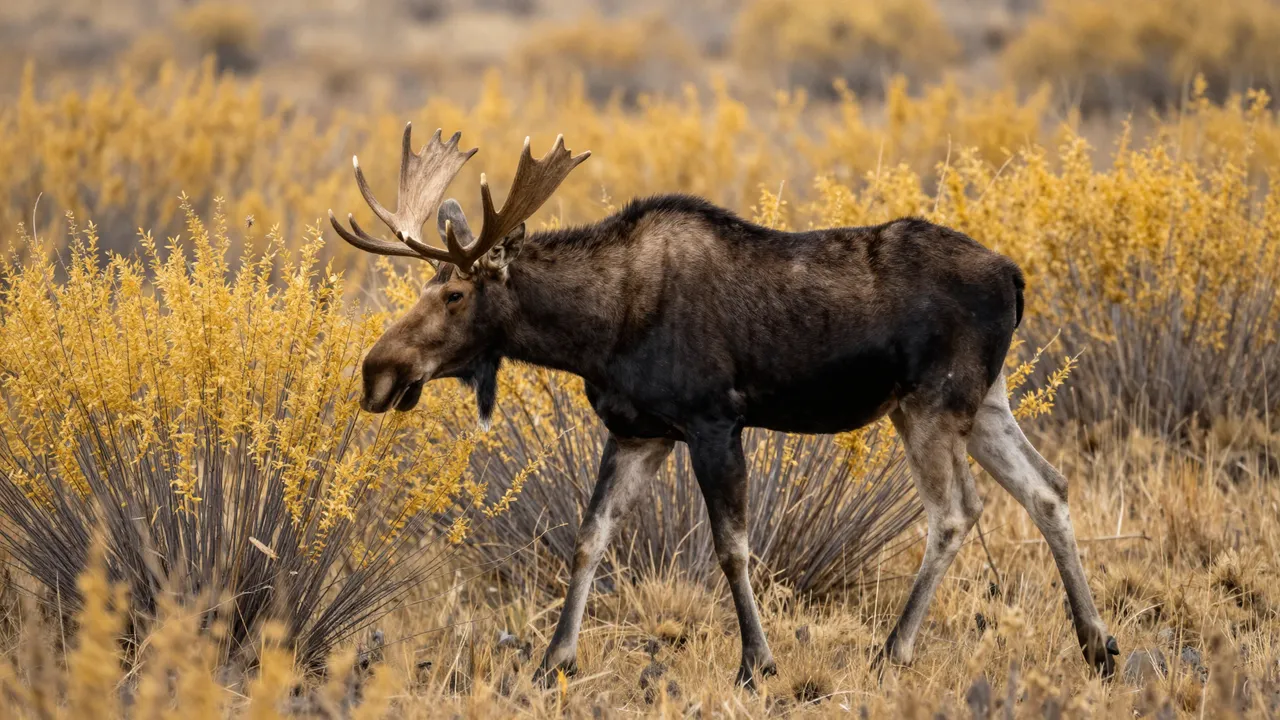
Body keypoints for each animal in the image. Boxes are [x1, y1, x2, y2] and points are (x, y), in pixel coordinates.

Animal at [330, 124, 1120, 689]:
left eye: (454, 293)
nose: (377, 372)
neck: (595, 331)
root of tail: (1014, 277)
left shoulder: (714, 422)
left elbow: (732, 548)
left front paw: (757, 663)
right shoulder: (639, 432)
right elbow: (589, 539)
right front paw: (554, 660)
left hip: (928, 404)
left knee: (956, 511)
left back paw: (893, 650)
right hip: (983, 402)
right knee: (1048, 488)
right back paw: (1097, 644)